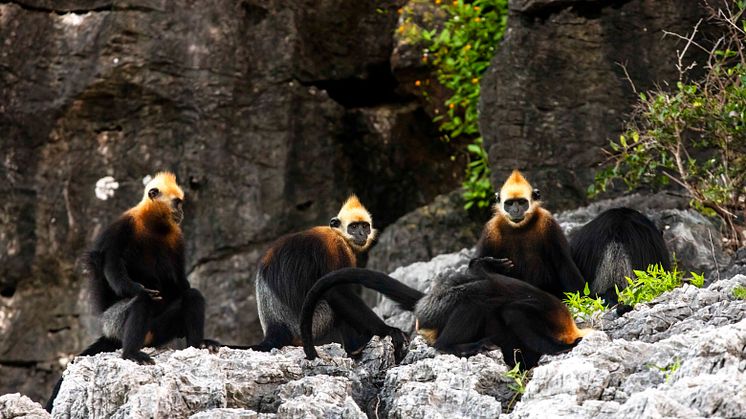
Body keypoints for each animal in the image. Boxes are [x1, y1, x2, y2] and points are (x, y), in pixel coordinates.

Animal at [46, 171, 217, 414]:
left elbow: (181, 283)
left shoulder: (177, 238)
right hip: (114, 323)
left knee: (193, 296)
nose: (182, 211)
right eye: (177, 202)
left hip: (159, 331)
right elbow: (113, 266)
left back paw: (197, 345)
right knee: (142, 301)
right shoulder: (122, 226)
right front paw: (138, 288)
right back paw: (131, 352)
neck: (154, 225)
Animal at [234, 195, 406, 360]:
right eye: (353, 227)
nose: (362, 233)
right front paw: (388, 330)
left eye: (364, 226)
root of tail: (275, 327)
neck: (338, 234)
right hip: (313, 324)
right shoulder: (335, 247)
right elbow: (337, 291)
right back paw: (355, 346)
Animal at [294, 258, 588, 370]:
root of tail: (426, 301)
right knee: (475, 299)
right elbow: (513, 313)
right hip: (438, 309)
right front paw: (559, 349)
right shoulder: (541, 313)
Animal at [474, 170, 584, 298]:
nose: (515, 211)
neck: (519, 228)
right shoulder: (490, 229)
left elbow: (563, 262)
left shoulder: (548, 221)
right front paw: (492, 265)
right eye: (509, 203)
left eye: (522, 202)